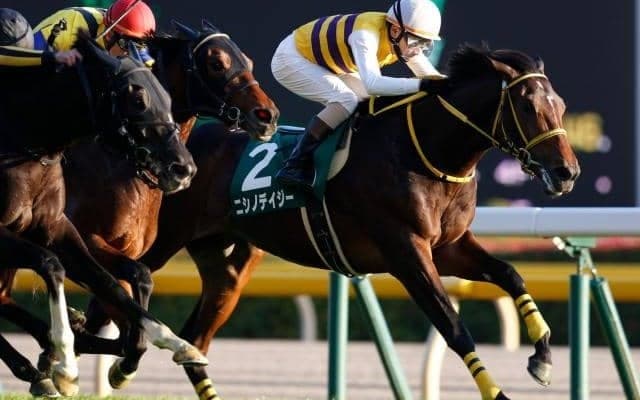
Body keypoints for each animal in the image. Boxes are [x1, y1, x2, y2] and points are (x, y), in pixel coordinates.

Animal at [0, 20, 279, 394]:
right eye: (216, 63)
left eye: (247, 60)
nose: (267, 115)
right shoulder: (87, 237)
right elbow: (126, 284)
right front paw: (81, 357)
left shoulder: (124, 249)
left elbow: (133, 285)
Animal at [140, 44, 580, 400]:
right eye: (528, 107)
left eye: (560, 105)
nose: (567, 173)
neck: (423, 151)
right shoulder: (406, 251)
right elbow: (454, 326)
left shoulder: (448, 247)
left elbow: (510, 274)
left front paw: (542, 358)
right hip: (162, 241)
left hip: (228, 263)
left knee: (195, 342)